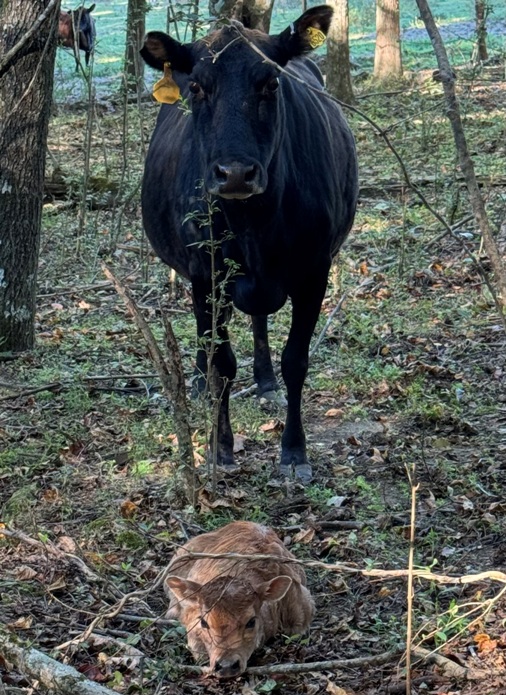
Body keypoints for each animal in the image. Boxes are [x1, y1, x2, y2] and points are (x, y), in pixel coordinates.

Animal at [140, 4, 358, 484]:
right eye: (197, 86)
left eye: (271, 83)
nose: (235, 173)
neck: (253, 223)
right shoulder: (205, 272)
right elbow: (221, 362)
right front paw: (220, 447)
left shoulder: (314, 269)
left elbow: (296, 359)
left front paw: (294, 451)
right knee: (209, 342)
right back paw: (197, 381)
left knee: (259, 322)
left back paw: (265, 380)